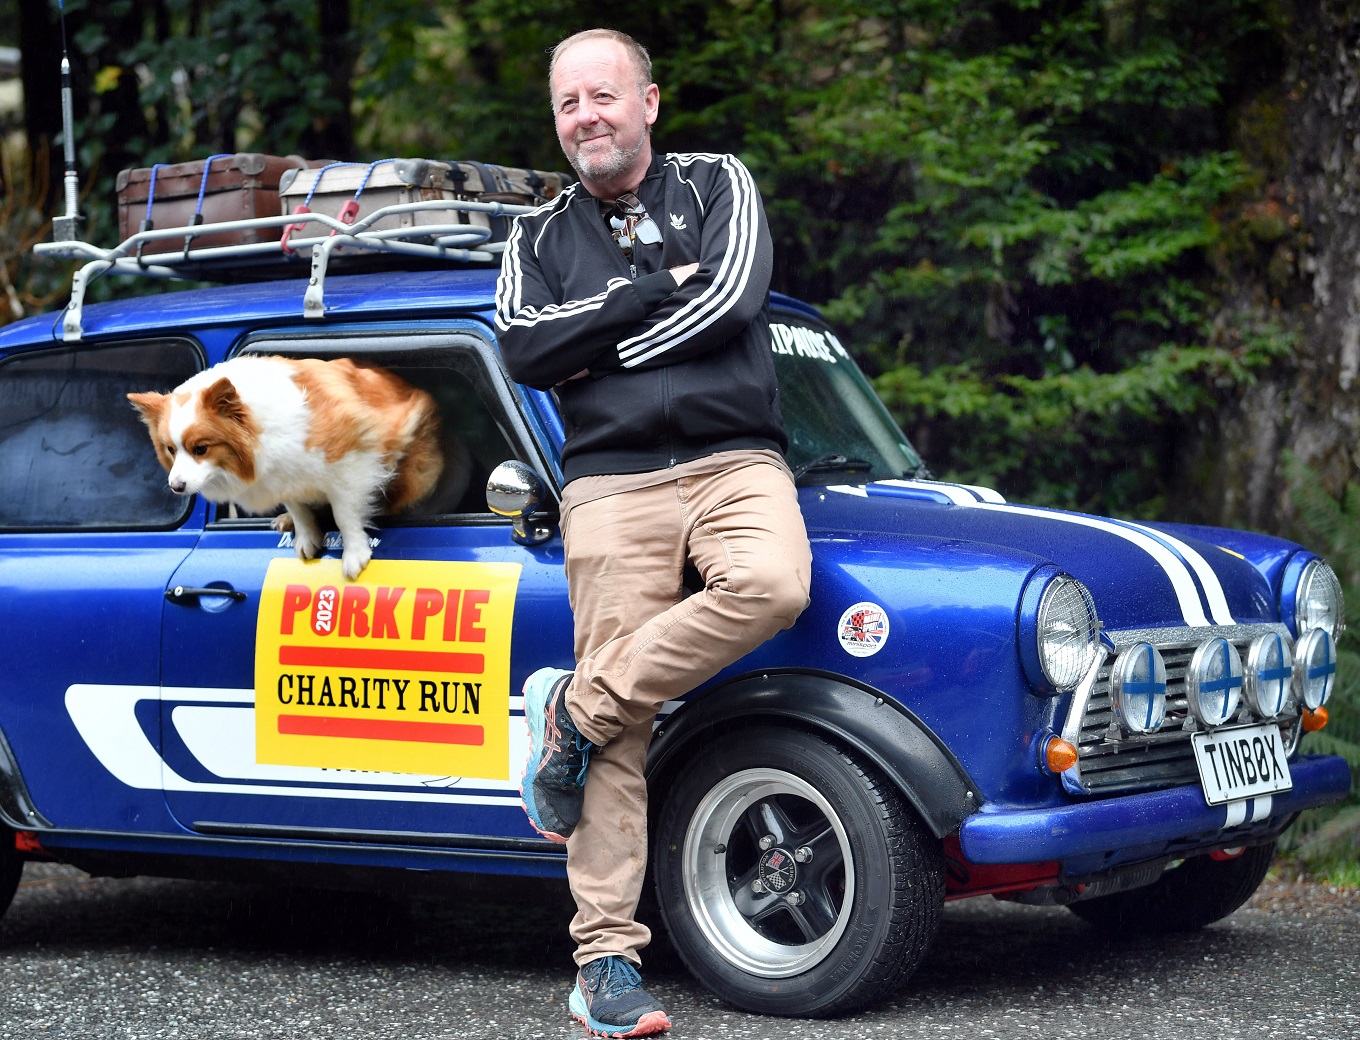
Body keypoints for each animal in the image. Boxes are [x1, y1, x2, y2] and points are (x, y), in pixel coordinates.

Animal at [130, 356, 443, 579]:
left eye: (200, 449)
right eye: (170, 450)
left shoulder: (351, 457)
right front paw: (305, 534)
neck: (261, 426)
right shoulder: (281, 476)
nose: (176, 487)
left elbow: (344, 513)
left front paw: (354, 553)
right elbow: (298, 507)